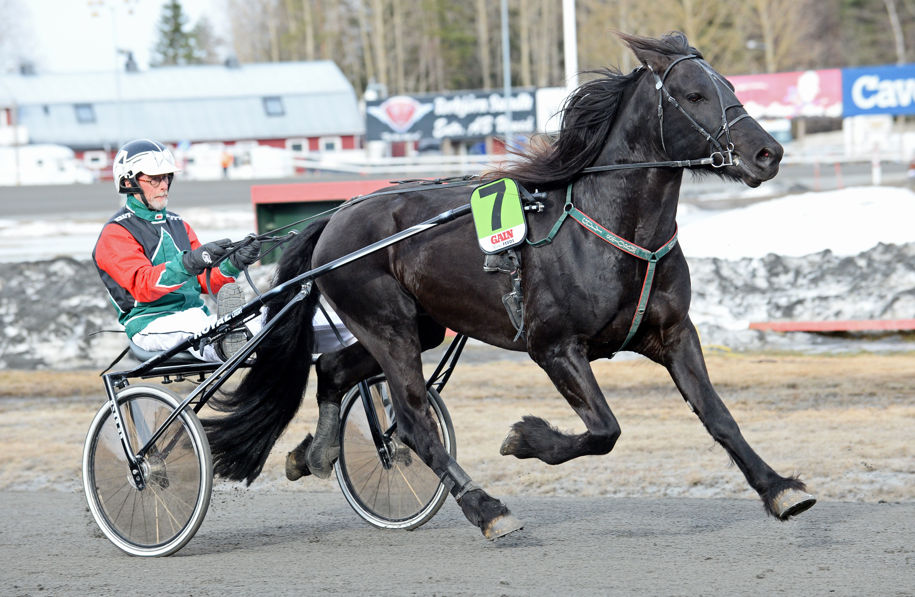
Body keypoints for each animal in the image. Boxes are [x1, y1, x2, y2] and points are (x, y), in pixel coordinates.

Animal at [203, 31, 815, 539]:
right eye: (693, 95)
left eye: (730, 86)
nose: (768, 152)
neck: (608, 227)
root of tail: (336, 217)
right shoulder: (554, 347)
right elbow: (604, 429)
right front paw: (525, 438)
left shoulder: (672, 333)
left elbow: (718, 416)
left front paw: (779, 488)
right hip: (386, 324)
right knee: (413, 419)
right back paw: (486, 509)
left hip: (417, 326)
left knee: (331, 369)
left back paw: (316, 453)